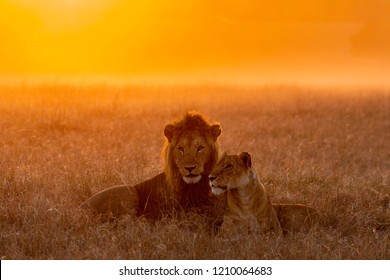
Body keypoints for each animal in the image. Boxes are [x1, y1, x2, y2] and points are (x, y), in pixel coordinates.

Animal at [80, 111, 225, 221]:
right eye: (181, 149)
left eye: (200, 148)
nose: (189, 168)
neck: (195, 187)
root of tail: (79, 209)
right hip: (129, 191)